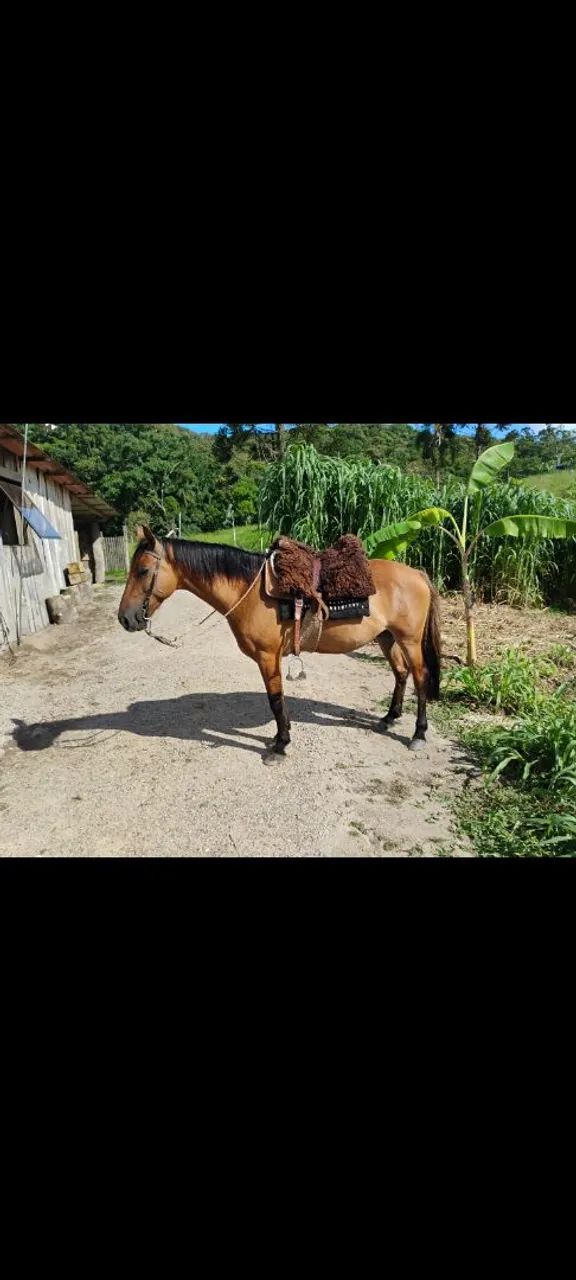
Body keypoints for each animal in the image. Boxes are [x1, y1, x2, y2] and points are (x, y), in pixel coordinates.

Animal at [118, 525, 442, 763]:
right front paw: (280, 739)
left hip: (409, 640)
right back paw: (389, 718)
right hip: (387, 638)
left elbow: (275, 700)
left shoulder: (267, 656)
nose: (125, 618)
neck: (248, 591)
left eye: (142, 571)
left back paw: (418, 734)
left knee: (419, 678)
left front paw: (280, 745)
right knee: (401, 674)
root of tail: (418, 574)